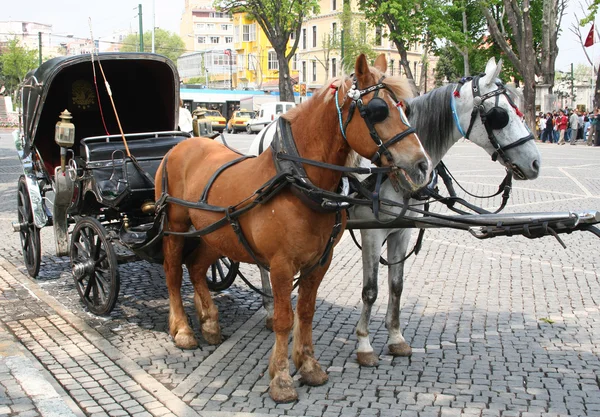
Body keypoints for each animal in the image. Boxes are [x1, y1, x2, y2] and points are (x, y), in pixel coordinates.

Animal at [155, 53, 432, 402]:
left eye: (405, 108)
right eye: (377, 110)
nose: (422, 166)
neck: (299, 180)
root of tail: (180, 147)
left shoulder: (320, 260)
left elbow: (307, 311)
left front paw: (308, 366)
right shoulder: (282, 266)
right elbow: (284, 319)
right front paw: (282, 378)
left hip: (213, 233)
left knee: (195, 267)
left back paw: (210, 324)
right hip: (175, 227)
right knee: (173, 273)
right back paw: (182, 330)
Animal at [251, 57, 540, 364]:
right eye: (501, 115)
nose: (536, 162)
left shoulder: (402, 231)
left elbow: (396, 286)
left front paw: (396, 337)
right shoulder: (372, 233)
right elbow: (370, 290)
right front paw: (364, 344)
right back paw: (269, 310)